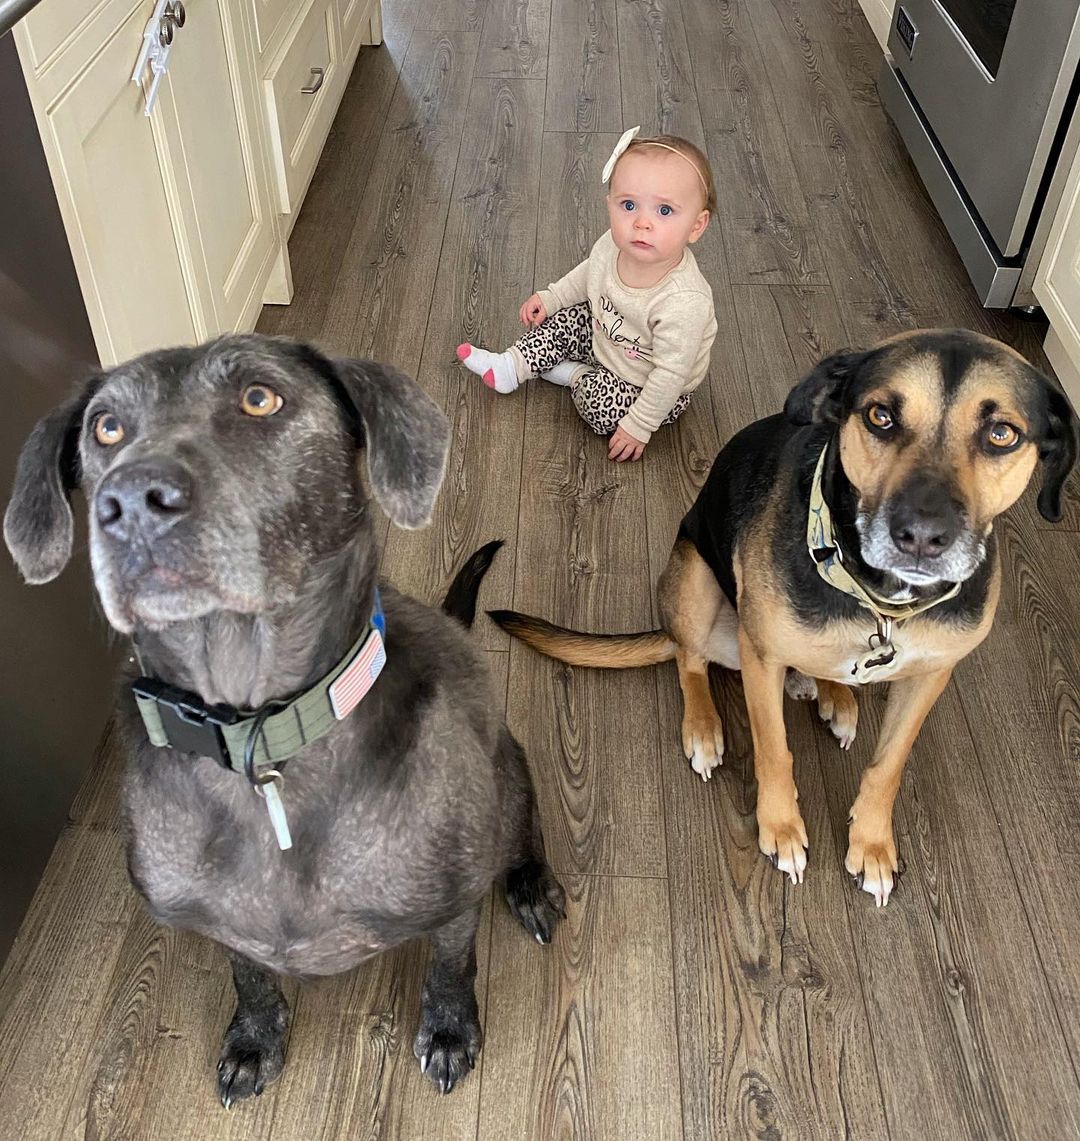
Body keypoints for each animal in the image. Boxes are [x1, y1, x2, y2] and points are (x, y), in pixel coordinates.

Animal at [4, 333, 565, 1104]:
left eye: (260, 398)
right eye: (106, 428)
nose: (132, 502)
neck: (258, 734)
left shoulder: (453, 904)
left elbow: (452, 966)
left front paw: (451, 1029)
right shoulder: (222, 926)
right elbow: (249, 974)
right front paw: (255, 1036)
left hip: (505, 783)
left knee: (524, 818)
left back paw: (532, 882)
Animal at [494, 330, 1076, 908]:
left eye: (1002, 434)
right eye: (880, 416)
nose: (921, 536)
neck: (881, 600)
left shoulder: (931, 676)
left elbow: (887, 766)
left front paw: (871, 844)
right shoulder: (763, 657)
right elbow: (775, 751)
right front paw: (781, 830)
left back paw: (835, 696)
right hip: (695, 578)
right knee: (689, 659)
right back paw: (704, 726)